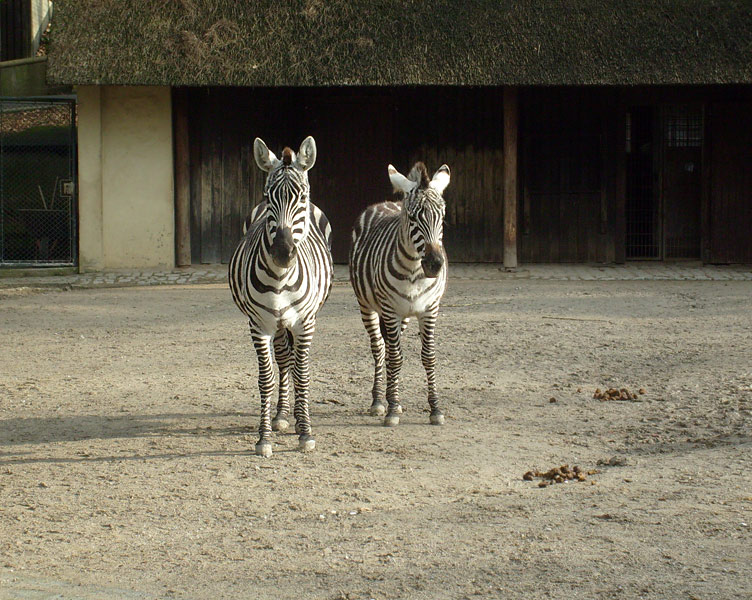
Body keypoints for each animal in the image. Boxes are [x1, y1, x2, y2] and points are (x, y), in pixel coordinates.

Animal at [229, 135, 332, 454]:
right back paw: (283, 415)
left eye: (302, 197)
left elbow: (303, 374)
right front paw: (264, 437)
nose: (282, 253)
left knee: (293, 361)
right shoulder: (258, 324)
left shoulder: (304, 322)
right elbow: (266, 378)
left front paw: (306, 432)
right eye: (267, 196)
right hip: (276, 323)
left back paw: (297, 417)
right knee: (284, 358)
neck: (279, 279)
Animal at [350, 161, 450, 426]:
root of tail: (387, 202)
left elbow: (428, 357)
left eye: (442, 217)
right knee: (380, 348)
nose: (435, 264)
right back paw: (379, 401)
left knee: (388, 348)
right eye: (413, 217)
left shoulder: (429, 310)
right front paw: (392, 409)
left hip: (403, 315)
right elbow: (395, 358)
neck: (415, 271)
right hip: (368, 306)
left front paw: (435, 409)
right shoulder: (390, 310)